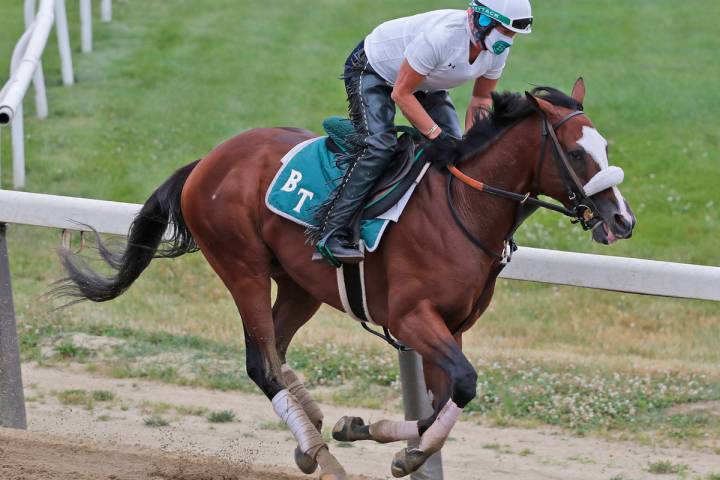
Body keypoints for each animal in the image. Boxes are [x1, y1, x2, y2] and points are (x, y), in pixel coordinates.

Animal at [59, 79, 640, 480]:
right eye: (578, 152)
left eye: (608, 146)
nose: (622, 220)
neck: (463, 208)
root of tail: (208, 161)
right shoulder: (411, 318)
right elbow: (463, 385)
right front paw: (395, 449)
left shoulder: (451, 327)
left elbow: (441, 401)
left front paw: (370, 432)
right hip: (242, 268)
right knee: (261, 363)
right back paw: (323, 456)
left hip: (299, 285)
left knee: (277, 353)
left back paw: (311, 430)